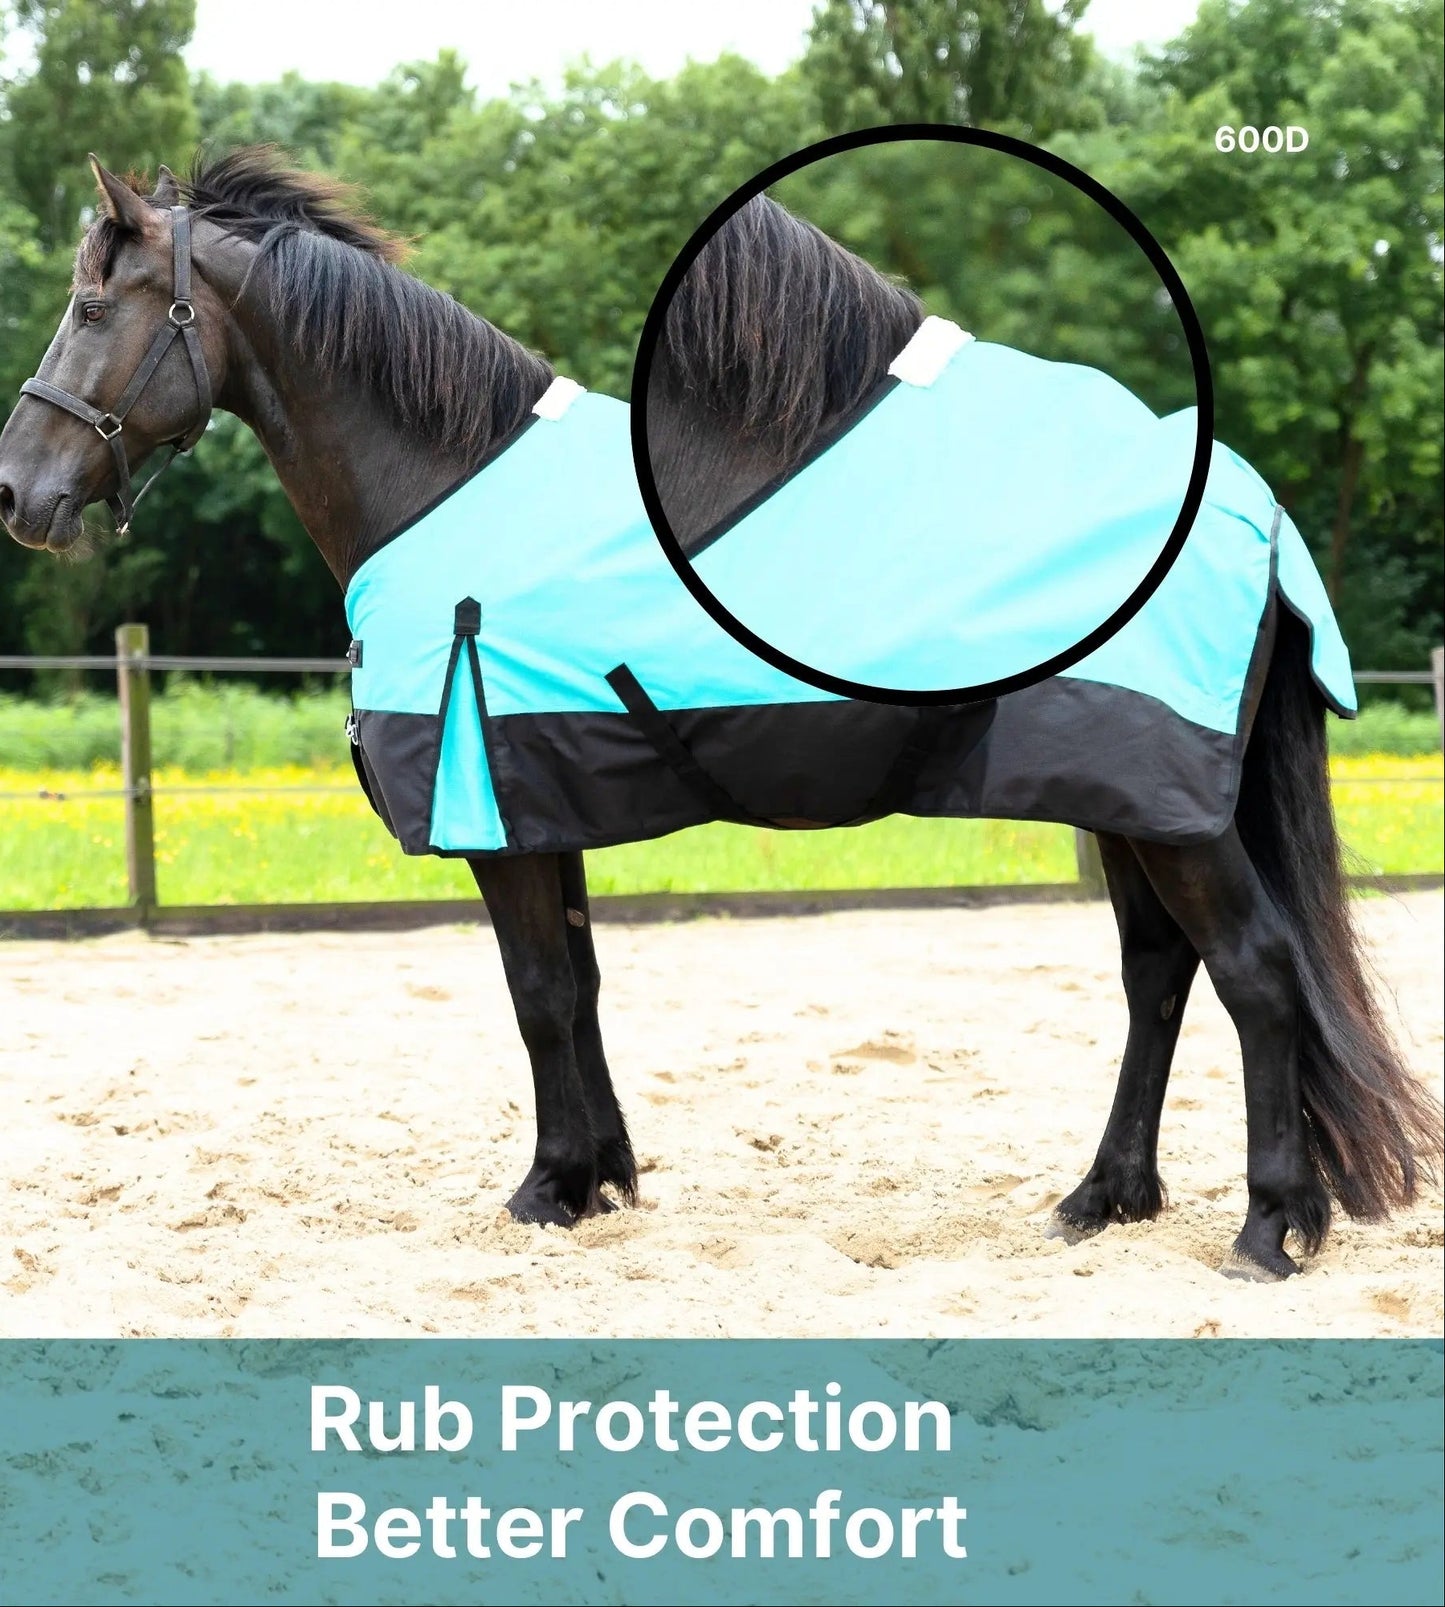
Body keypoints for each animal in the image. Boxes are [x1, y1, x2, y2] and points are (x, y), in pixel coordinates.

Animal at [0, 149, 1438, 1282]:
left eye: (88, 306)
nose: (19, 491)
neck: (442, 480)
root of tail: (1248, 502)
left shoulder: (496, 814)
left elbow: (534, 991)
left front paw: (547, 1188)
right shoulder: (542, 800)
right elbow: (576, 985)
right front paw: (602, 1177)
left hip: (1166, 805)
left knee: (1252, 970)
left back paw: (1268, 1228)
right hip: (1127, 796)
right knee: (1158, 974)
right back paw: (1101, 1199)